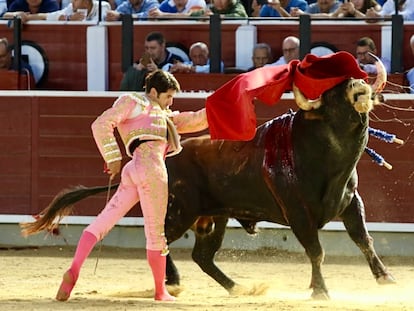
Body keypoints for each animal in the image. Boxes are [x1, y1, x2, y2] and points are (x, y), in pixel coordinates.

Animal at [21, 78, 394, 300]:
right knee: (161, 241)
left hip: (214, 218)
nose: (360, 84)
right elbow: (316, 251)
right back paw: (172, 283)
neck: (328, 157)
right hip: (179, 211)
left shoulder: (351, 203)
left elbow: (364, 240)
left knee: (201, 255)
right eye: (333, 94)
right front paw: (320, 291)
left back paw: (237, 287)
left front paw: (386, 278)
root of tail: (168, 158)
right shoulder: (297, 211)